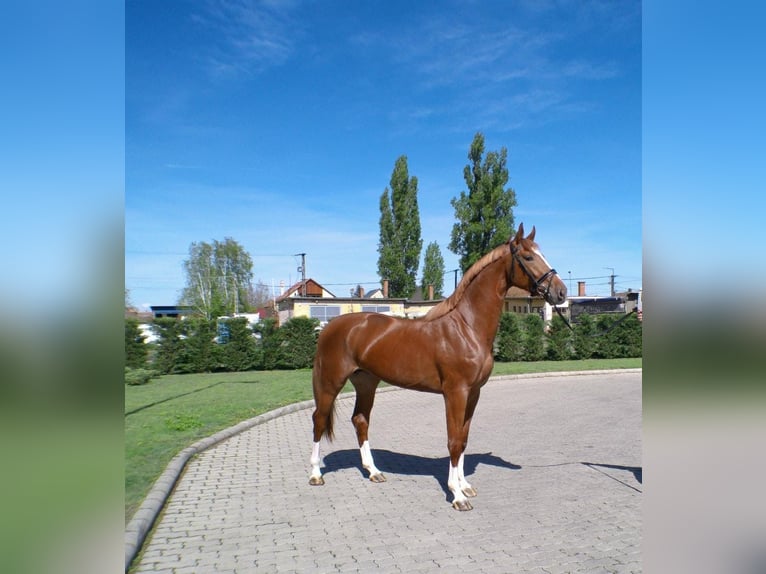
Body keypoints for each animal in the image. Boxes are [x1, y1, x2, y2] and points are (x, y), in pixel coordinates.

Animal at [308, 225, 568, 512]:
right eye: (528, 257)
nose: (561, 292)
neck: (467, 328)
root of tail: (330, 327)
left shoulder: (473, 393)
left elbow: (463, 439)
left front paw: (465, 486)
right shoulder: (456, 393)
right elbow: (453, 440)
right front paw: (457, 495)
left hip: (366, 383)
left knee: (360, 420)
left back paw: (373, 471)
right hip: (331, 382)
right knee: (319, 420)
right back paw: (316, 474)